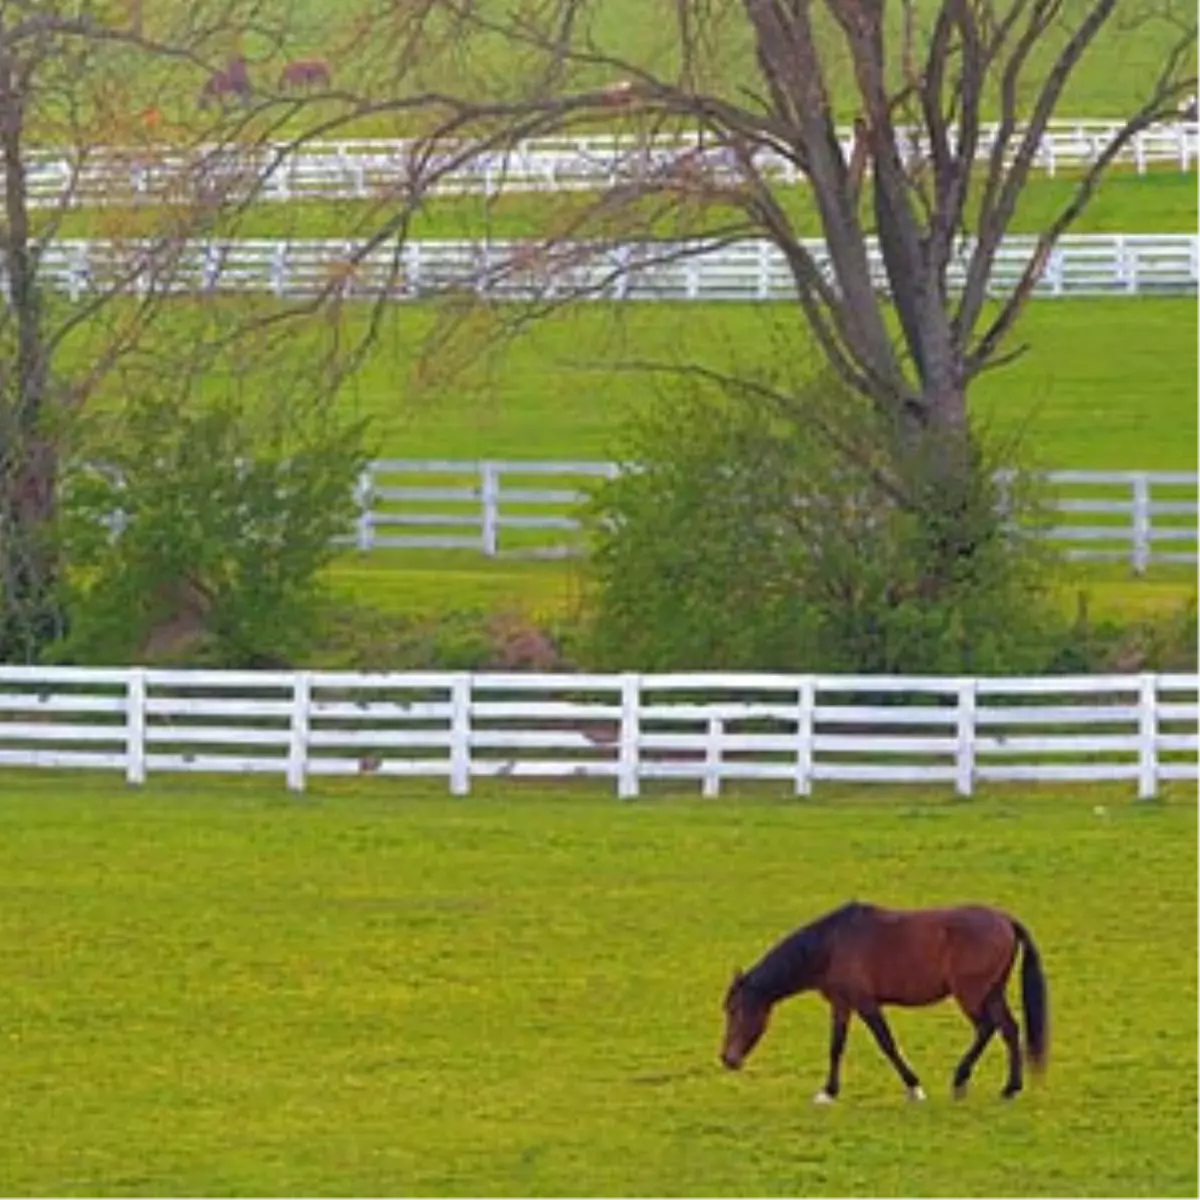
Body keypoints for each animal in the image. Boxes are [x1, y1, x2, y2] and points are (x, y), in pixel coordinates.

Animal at [720, 902, 1051, 1104]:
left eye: (736, 1010)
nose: (727, 1059)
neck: (832, 944)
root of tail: (1006, 920)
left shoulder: (866, 1003)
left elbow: (887, 1043)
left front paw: (915, 1087)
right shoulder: (842, 1004)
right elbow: (836, 1047)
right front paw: (828, 1092)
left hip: (971, 994)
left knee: (988, 1027)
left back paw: (964, 1080)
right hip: (992, 993)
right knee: (1008, 1029)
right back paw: (1008, 1088)